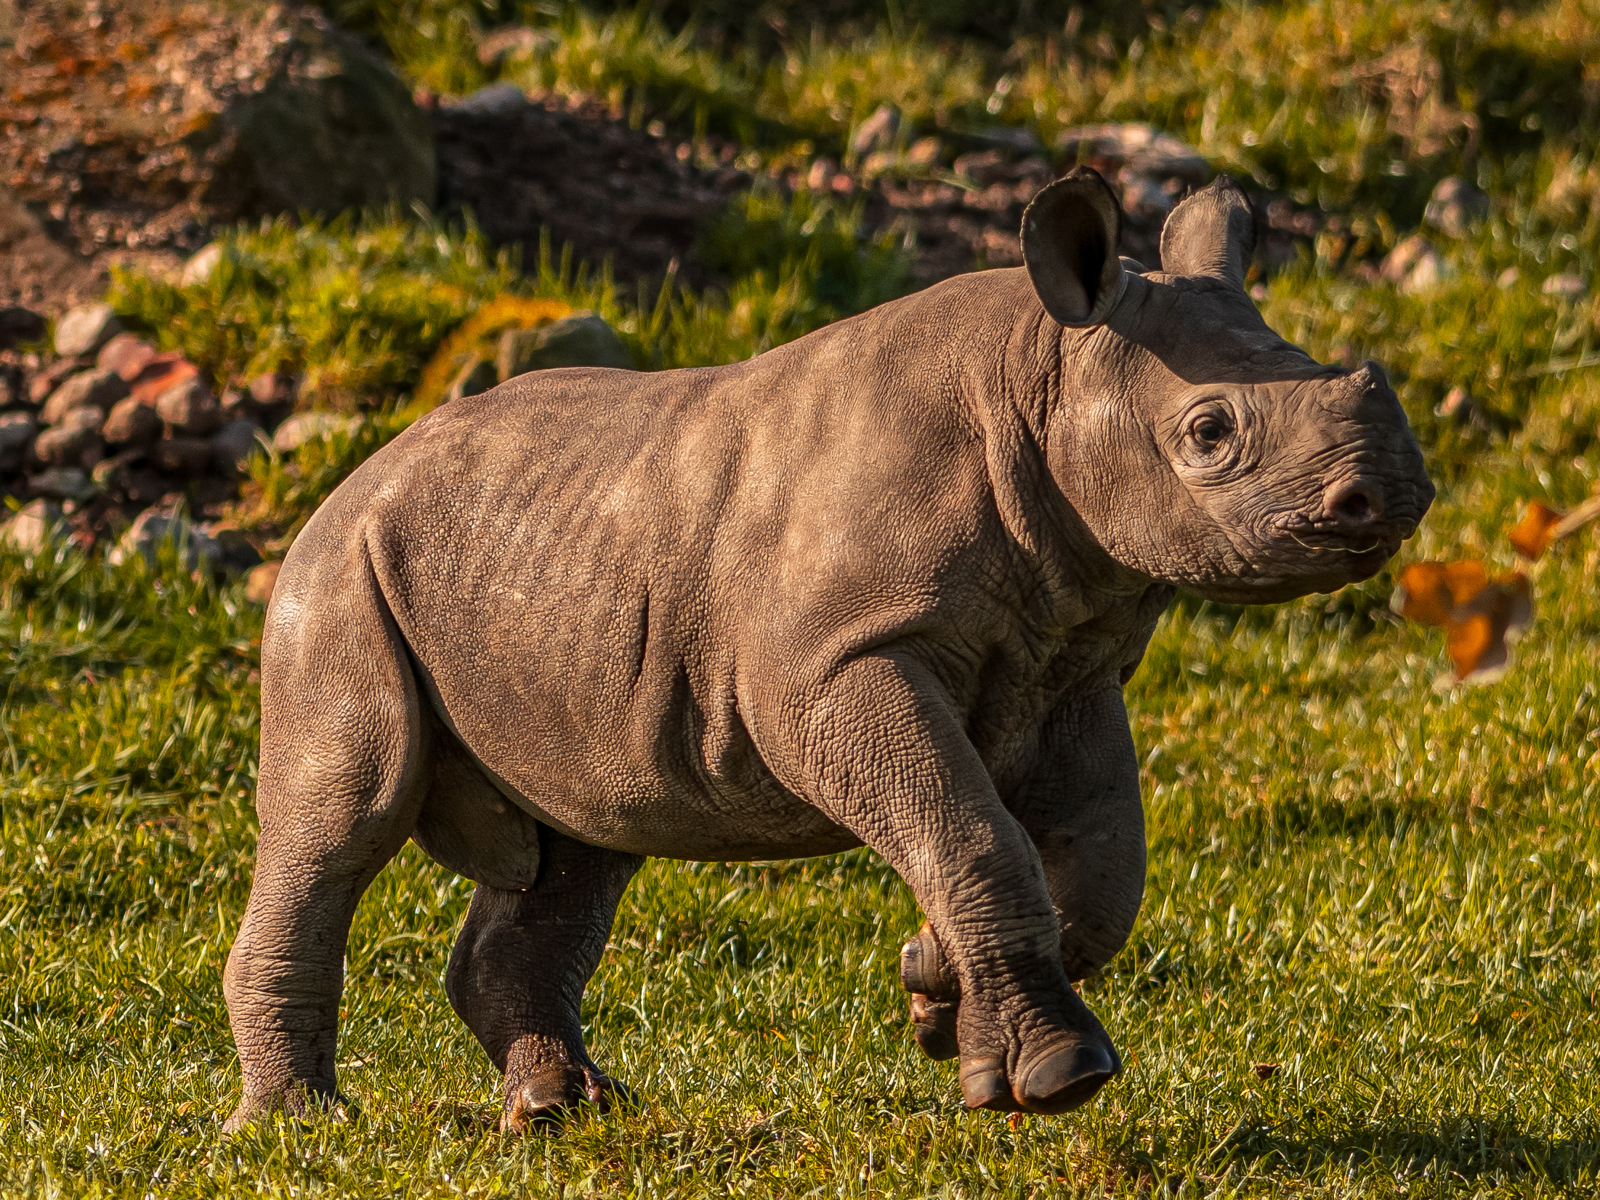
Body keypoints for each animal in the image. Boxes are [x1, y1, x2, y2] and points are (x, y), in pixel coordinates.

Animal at [222, 171, 1433, 1131]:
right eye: (1209, 433)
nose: (1392, 494)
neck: (1042, 370)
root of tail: (362, 469)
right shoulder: (833, 665)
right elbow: (972, 831)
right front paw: (1056, 1076)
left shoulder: (1070, 661)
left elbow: (1097, 870)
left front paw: (938, 1002)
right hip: (339, 575)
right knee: (345, 814)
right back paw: (301, 1126)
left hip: (545, 581)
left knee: (587, 835)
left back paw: (566, 1111)